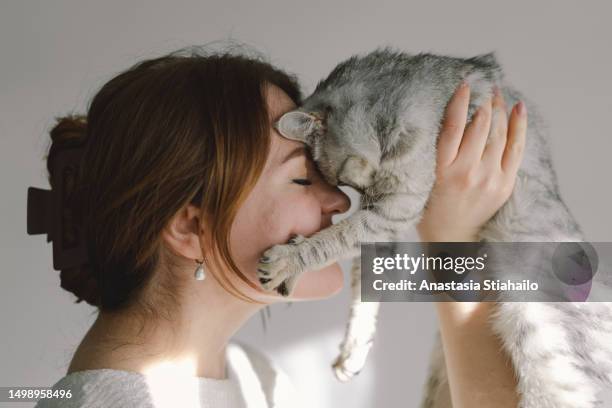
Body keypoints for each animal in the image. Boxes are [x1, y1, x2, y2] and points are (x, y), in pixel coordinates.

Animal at [255, 48, 612, 408]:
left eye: (341, 180)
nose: (361, 197)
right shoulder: (384, 225)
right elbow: (363, 286)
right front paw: (353, 350)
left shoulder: (395, 207)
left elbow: (333, 240)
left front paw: (290, 261)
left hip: (538, 330)